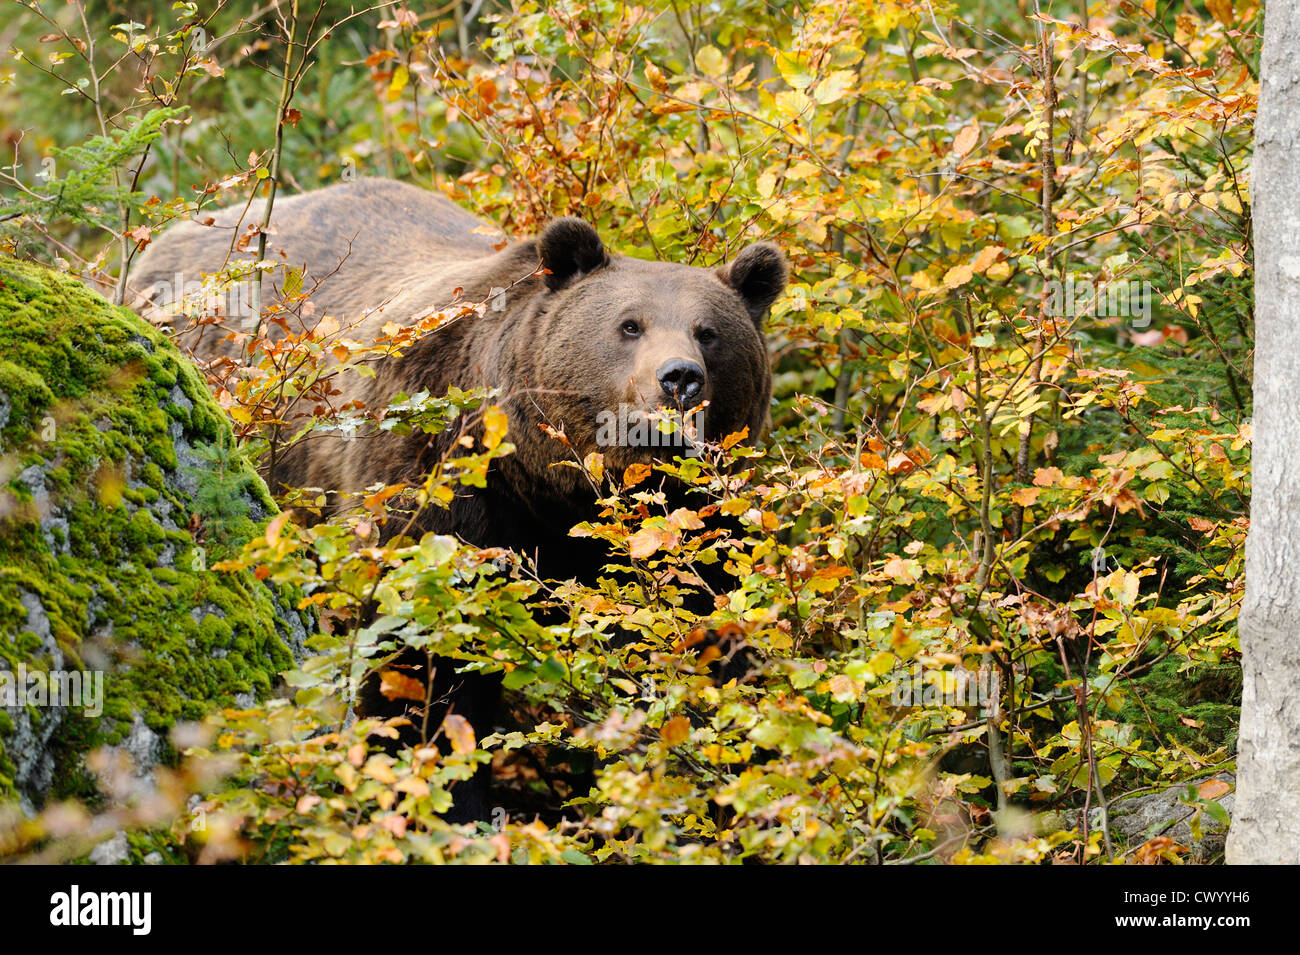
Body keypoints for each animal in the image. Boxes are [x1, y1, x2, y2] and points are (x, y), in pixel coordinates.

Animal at [130, 177, 787, 818]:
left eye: (710, 333)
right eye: (630, 325)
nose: (679, 378)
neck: (552, 484)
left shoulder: (689, 528)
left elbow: (700, 640)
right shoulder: (438, 475)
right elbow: (425, 651)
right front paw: (447, 799)